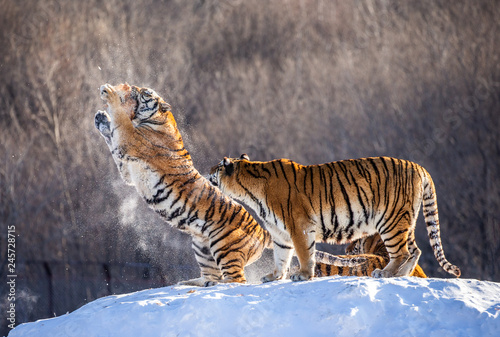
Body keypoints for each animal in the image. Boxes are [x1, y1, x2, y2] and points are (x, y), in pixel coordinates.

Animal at [94, 82, 276, 284]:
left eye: (146, 92)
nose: (133, 87)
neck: (157, 120)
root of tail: (261, 231)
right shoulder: (127, 168)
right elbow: (111, 137)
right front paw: (101, 118)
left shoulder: (129, 140)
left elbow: (120, 122)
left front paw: (110, 94)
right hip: (202, 247)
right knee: (211, 277)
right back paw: (185, 284)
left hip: (224, 248)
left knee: (237, 280)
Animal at [208, 154, 460, 280]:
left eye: (217, 166)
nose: (208, 170)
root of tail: (419, 167)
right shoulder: (280, 232)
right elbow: (281, 256)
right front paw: (274, 276)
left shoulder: (299, 226)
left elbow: (304, 254)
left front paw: (302, 275)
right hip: (405, 220)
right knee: (415, 250)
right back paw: (402, 275)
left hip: (391, 221)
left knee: (402, 252)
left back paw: (385, 273)